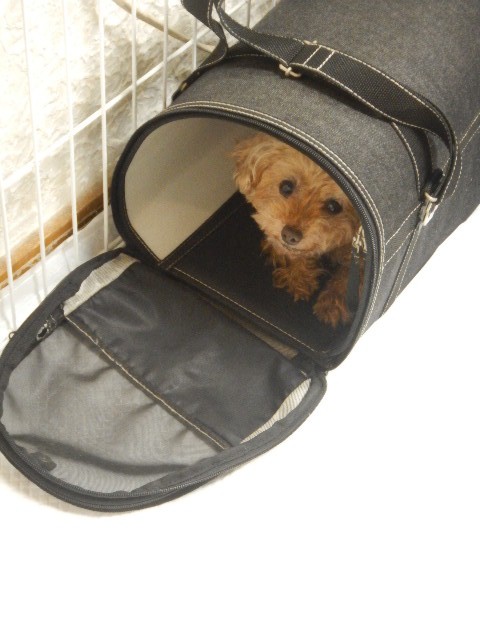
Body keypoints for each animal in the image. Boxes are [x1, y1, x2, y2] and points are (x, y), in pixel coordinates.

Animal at [232, 133, 363, 328]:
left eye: (334, 207)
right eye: (286, 186)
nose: (290, 235)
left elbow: (348, 274)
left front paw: (332, 303)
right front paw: (298, 278)